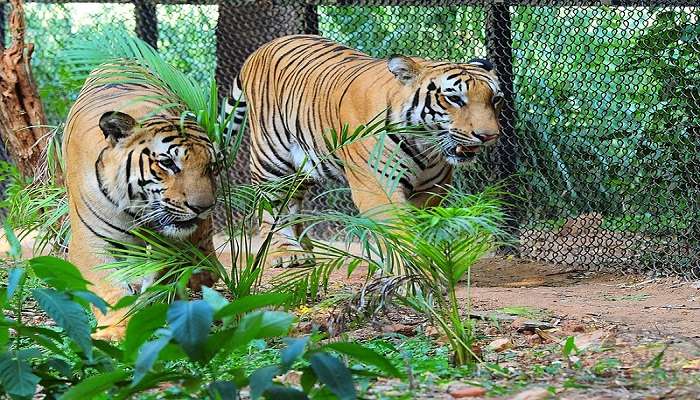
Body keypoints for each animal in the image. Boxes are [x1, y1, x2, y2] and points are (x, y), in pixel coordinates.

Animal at [66, 66, 220, 340]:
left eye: (210, 167)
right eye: (167, 163)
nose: (202, 208)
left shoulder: (168, 242)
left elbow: (160, 278)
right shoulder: (90, 242)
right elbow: (109, 286)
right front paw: (116, 329)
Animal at [227, 33, 500, 266]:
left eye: (495, 99)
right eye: (454, 98)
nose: (489, 136)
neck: (425, 146)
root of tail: (263, 48)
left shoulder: (432, 190)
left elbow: (422, 228)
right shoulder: (377, 187)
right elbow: (399, 230)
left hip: (305, 167)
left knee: (292, 204)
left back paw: (304, 249)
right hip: (271, 160)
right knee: (270, 206)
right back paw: (285, 252)